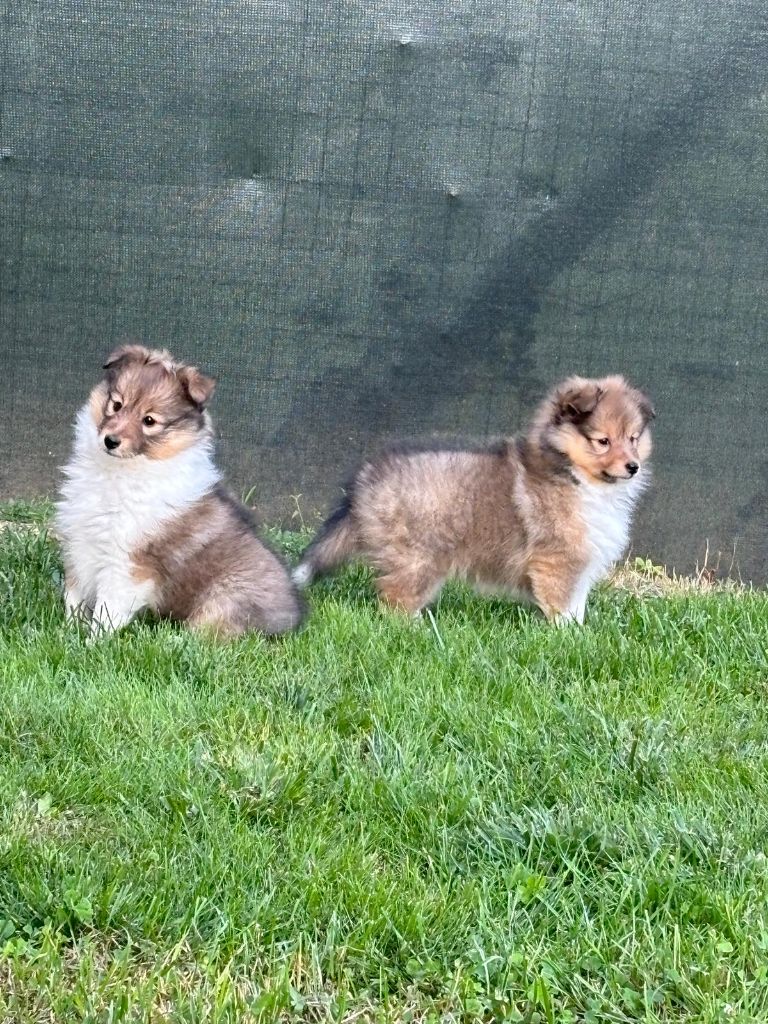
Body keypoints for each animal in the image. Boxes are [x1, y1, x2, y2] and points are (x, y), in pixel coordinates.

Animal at [56, 348, 303, 634]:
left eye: (149, 421)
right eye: (116, 404)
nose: (110, 441)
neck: (120, 472)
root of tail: (294, 616)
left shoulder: (128, 564)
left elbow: (107, 610)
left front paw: (92, 641)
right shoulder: (80, 543)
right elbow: (74, 595)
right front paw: (68, 630)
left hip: (221, 604)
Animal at [294, 376, 655, 622]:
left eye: (633, 438)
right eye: (603, 441)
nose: (633, 467)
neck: (573, 474)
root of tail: (365, 477)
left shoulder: (580, 565)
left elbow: (577, 607)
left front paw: (580, 633)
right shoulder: (556, 561)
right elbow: (561, 608)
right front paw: (565, 637)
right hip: (419, 557)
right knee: (394, 597)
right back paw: (415, 628)